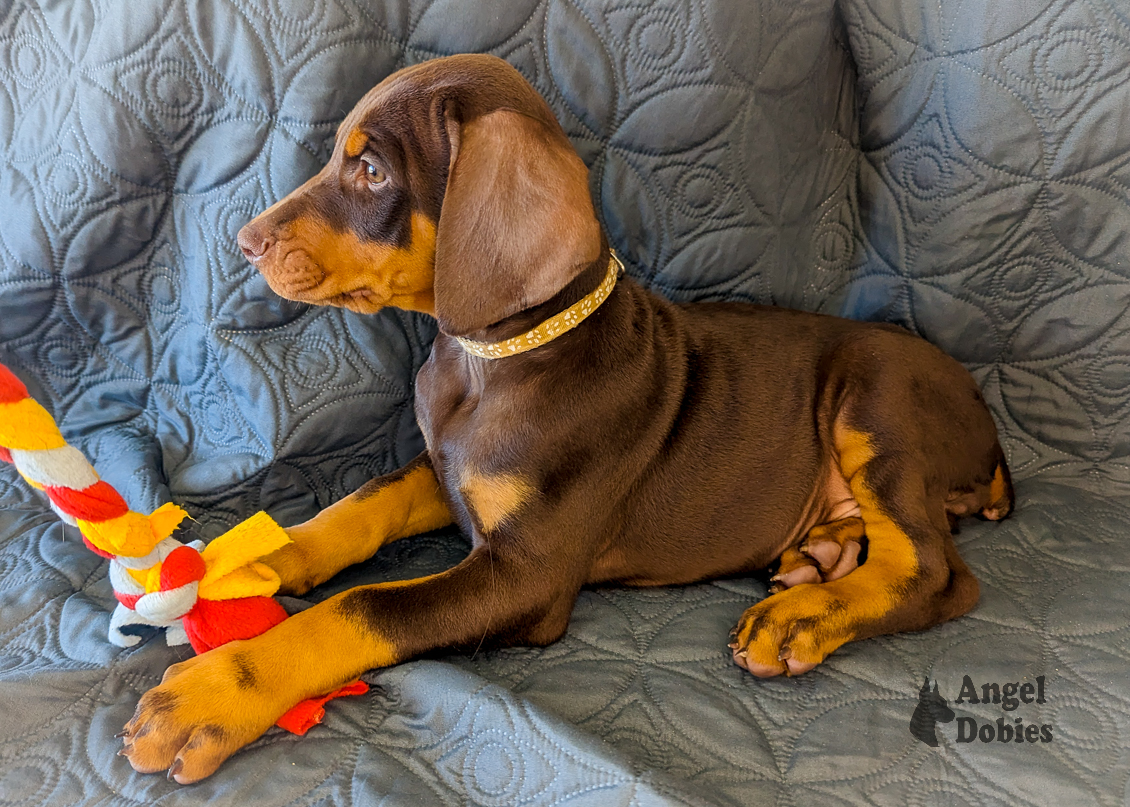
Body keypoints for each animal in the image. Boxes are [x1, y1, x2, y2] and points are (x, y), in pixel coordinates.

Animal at [119, 51, 1012, 777]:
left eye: (370, 171)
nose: (244, 241)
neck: (492, 362)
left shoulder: (527, 575)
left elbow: (365, 605)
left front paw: (217, 692)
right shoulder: (444, 467)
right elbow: (360, 506)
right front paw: (268, 552)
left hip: (878, 396)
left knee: (935, 570)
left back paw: (801, 617)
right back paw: (819, 558)